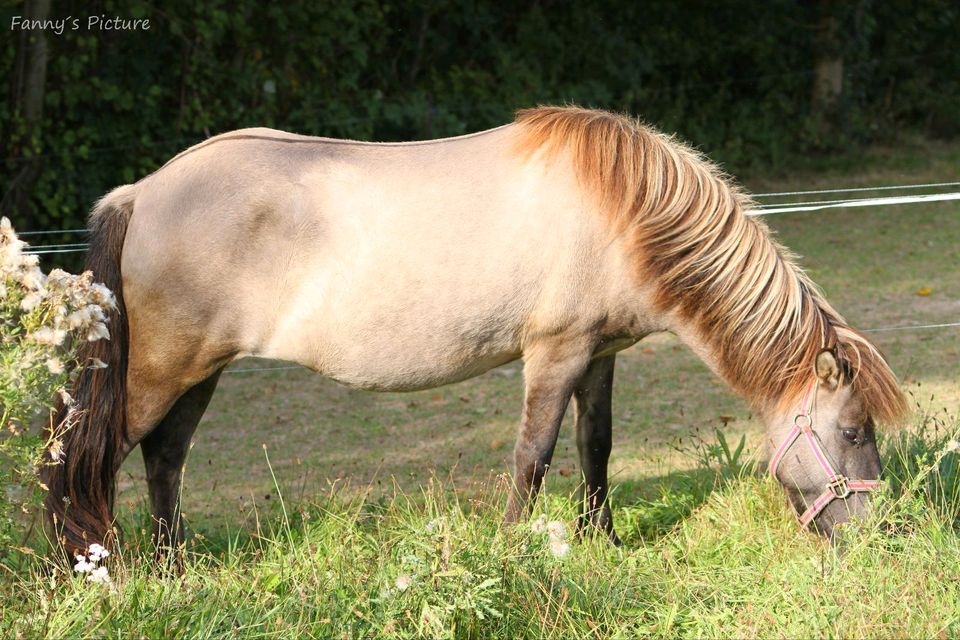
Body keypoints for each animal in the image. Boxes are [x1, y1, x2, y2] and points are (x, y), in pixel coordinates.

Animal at [41, 106, 904, 556]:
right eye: (854, 431)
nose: (884, 535)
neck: (622, 212)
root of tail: (142, 192)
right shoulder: (554, 352)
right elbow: (533, 456)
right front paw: (515, 548)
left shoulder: (600, 356)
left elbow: (596, 447)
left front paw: (601, 540)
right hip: (161, 371)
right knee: (88, 457)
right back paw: (95, 567)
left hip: (201, 370)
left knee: (164, 459)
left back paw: (175, 562)